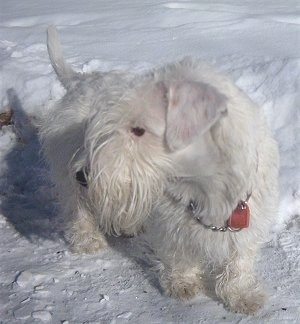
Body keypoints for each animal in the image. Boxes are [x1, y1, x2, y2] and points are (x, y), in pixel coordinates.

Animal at [41, 26, 280, 316]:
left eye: (139, 129)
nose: (83, 176)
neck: (207, 185)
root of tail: (82, 79)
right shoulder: (170, 220)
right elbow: (178, 253)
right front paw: (182, 284)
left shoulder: (248, 218)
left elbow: (239, 262)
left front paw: (241, 296)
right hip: (67, 164)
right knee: (77, 209)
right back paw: (88, 240)